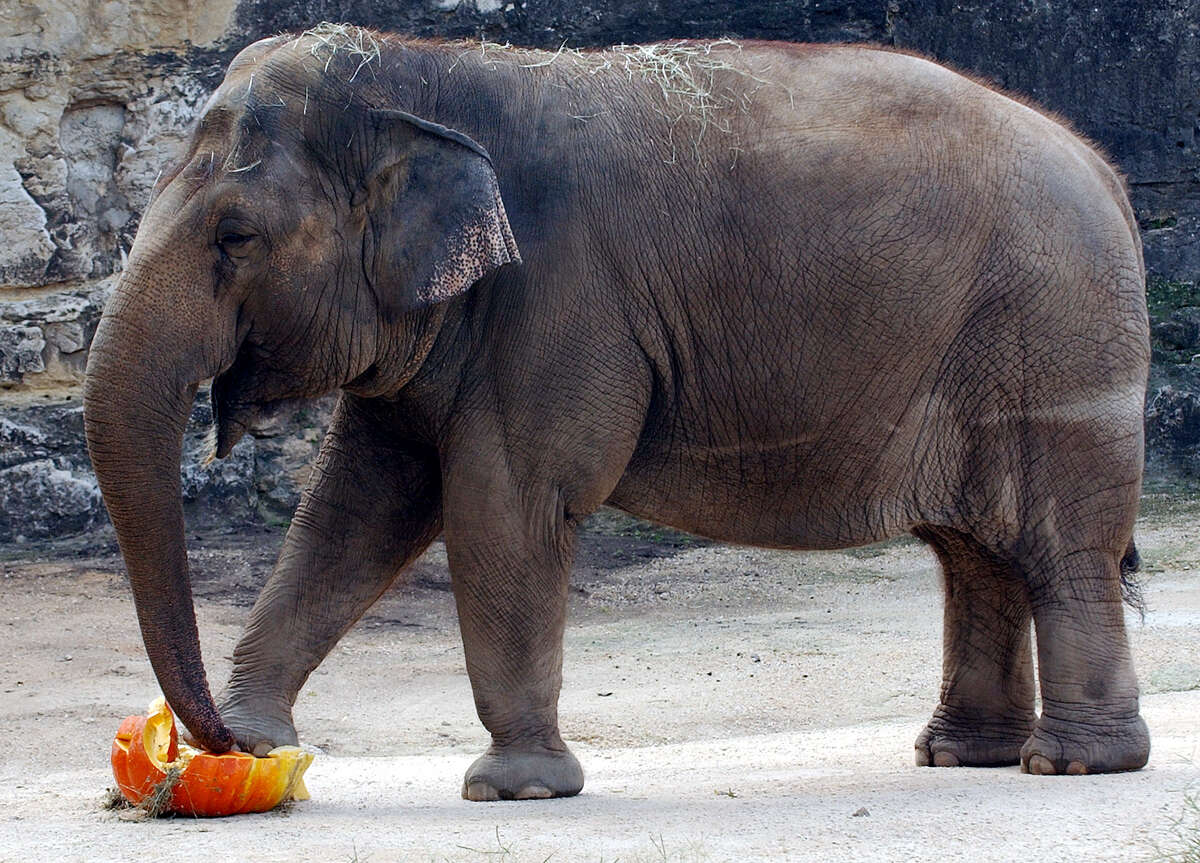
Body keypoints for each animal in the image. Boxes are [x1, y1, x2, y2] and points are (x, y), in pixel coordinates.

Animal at [84, 21, 1152, 801]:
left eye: (235, 236)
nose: (206, 737)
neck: (425, 71)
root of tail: (1105, 168)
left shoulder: (558, 301)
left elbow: (505, 507)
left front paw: (516, 789)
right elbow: (353, 510)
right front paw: (256, 746)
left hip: (1057, 342)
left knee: (1059, 544)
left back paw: (1073, 763)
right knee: (974, 552)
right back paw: (962, 755)